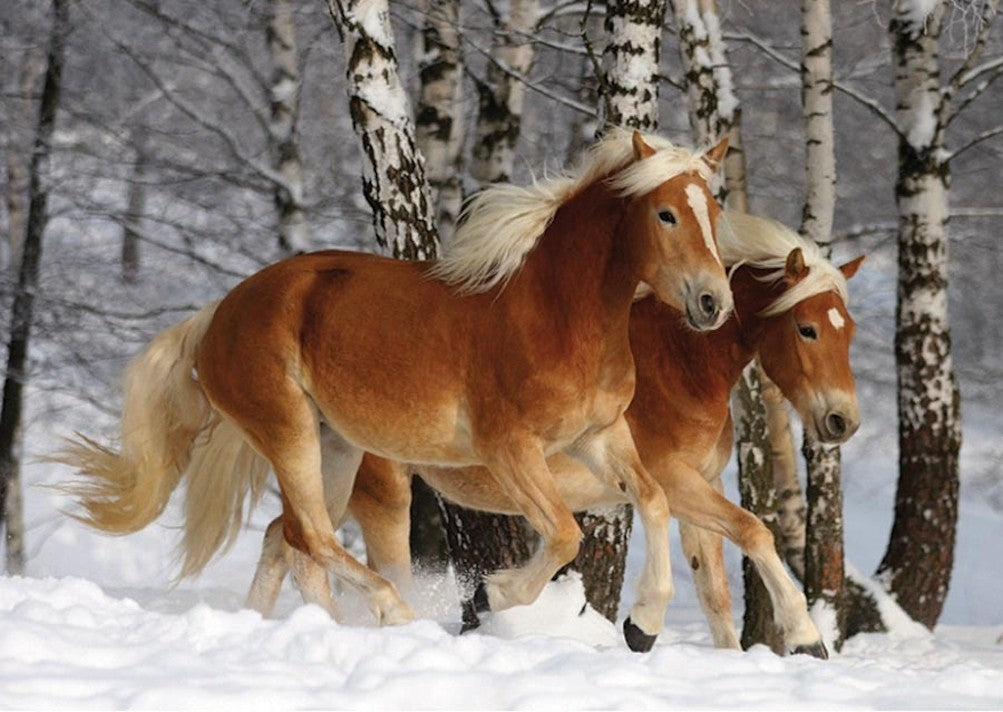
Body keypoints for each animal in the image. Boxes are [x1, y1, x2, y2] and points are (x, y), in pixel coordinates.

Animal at [57, 129, 733, 653]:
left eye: (714, 211)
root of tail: (219, 312)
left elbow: (654, 500)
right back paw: (395, 613)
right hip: (290, 431)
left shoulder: (600, 436)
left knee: (291, 537)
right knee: (313, 535)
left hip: (336, 445)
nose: (713, 303)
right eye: (665, 213)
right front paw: (491, 595)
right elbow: (566, 532)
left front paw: (643, 626)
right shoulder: (510, 449)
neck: (559, 315)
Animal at [245, 211, 864, 659]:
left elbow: (716, 591)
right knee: (318, 548)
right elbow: (756, 531)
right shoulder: (676, 481)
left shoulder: (699, 488)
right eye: (806, 328)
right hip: (380, 495)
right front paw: (805, 636)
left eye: (848, 330)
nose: (843, 422)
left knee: (283, 537)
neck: (680, 366)